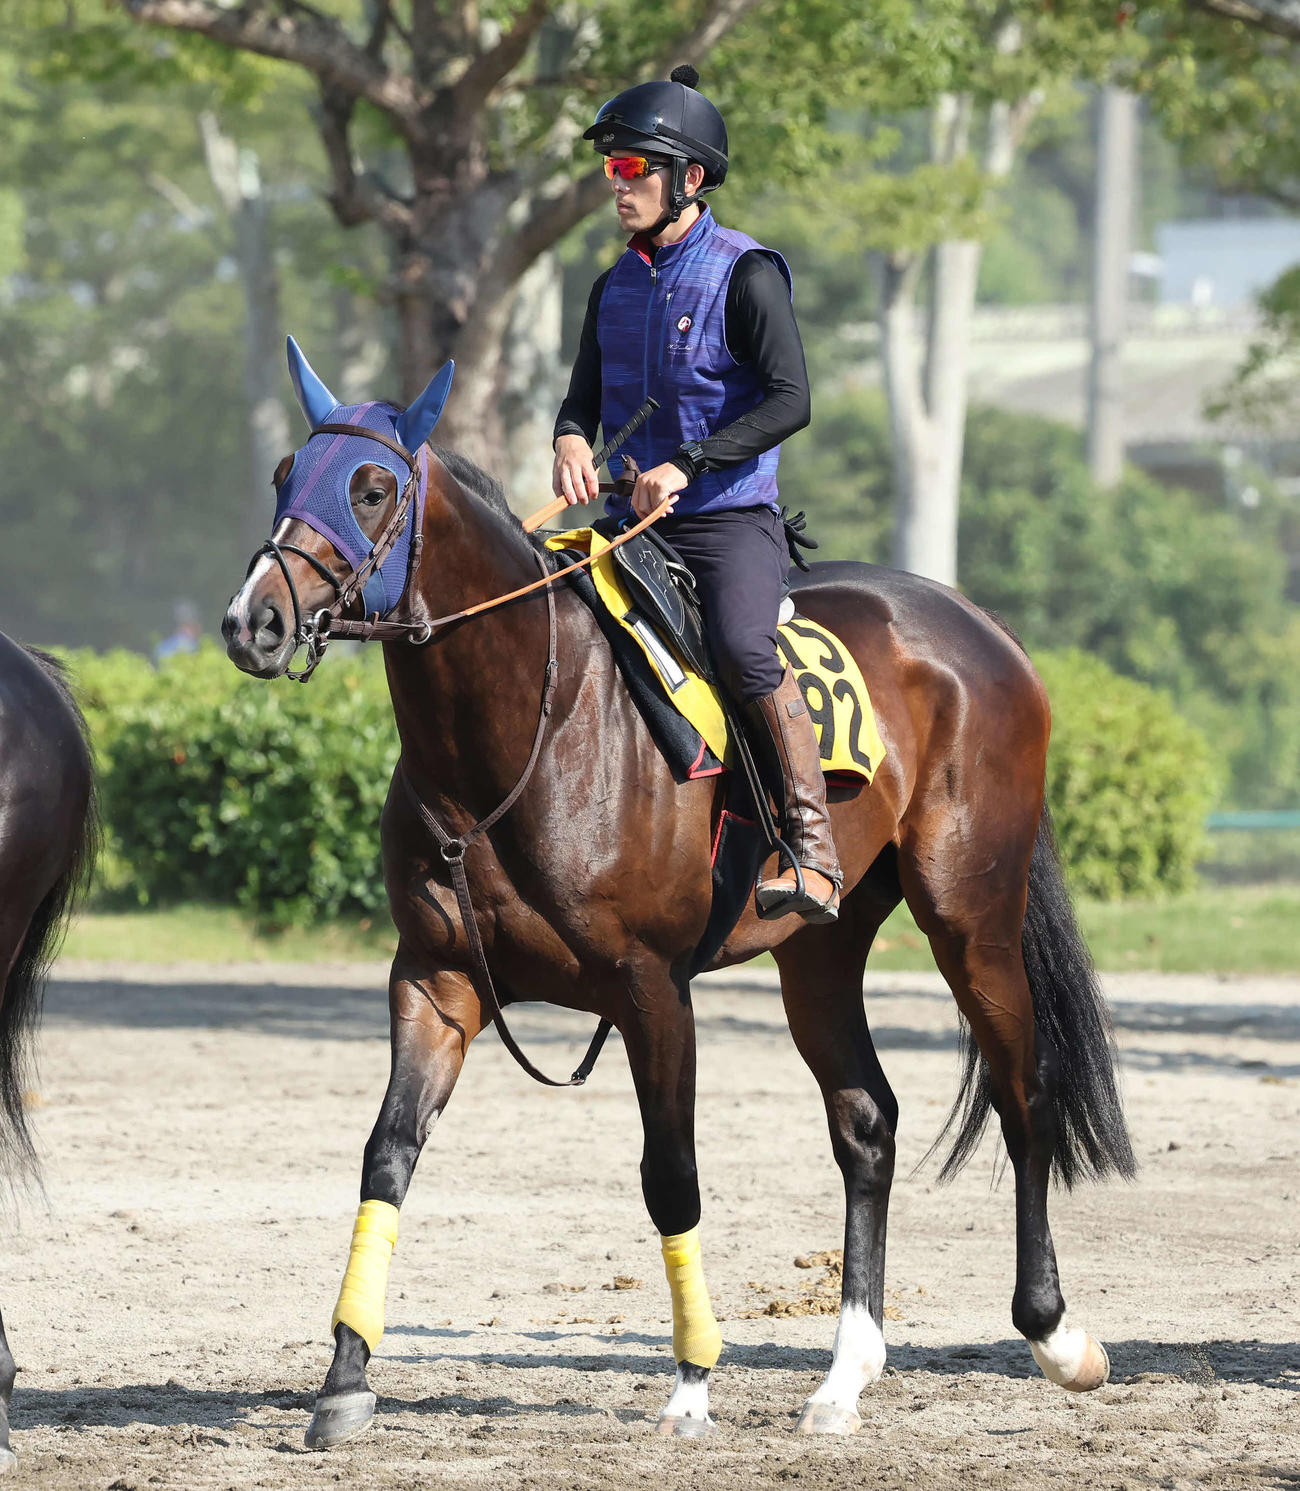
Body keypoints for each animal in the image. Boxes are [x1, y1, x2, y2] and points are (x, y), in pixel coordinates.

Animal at [222, 341, 1135, 1448]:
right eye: (282, 474)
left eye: (371, 486)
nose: (254, 620)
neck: (527, 731)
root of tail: (980, 627)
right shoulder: (436, 980)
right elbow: (387, 1155)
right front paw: (345, 1376)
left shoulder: (653, 990)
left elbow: (671, 1176)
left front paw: (695, 1379)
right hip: (819, 950)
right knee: (865, 1120)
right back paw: (844, 1374)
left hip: (971, 917)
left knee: (1022, 1090)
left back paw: (1054, 1334)